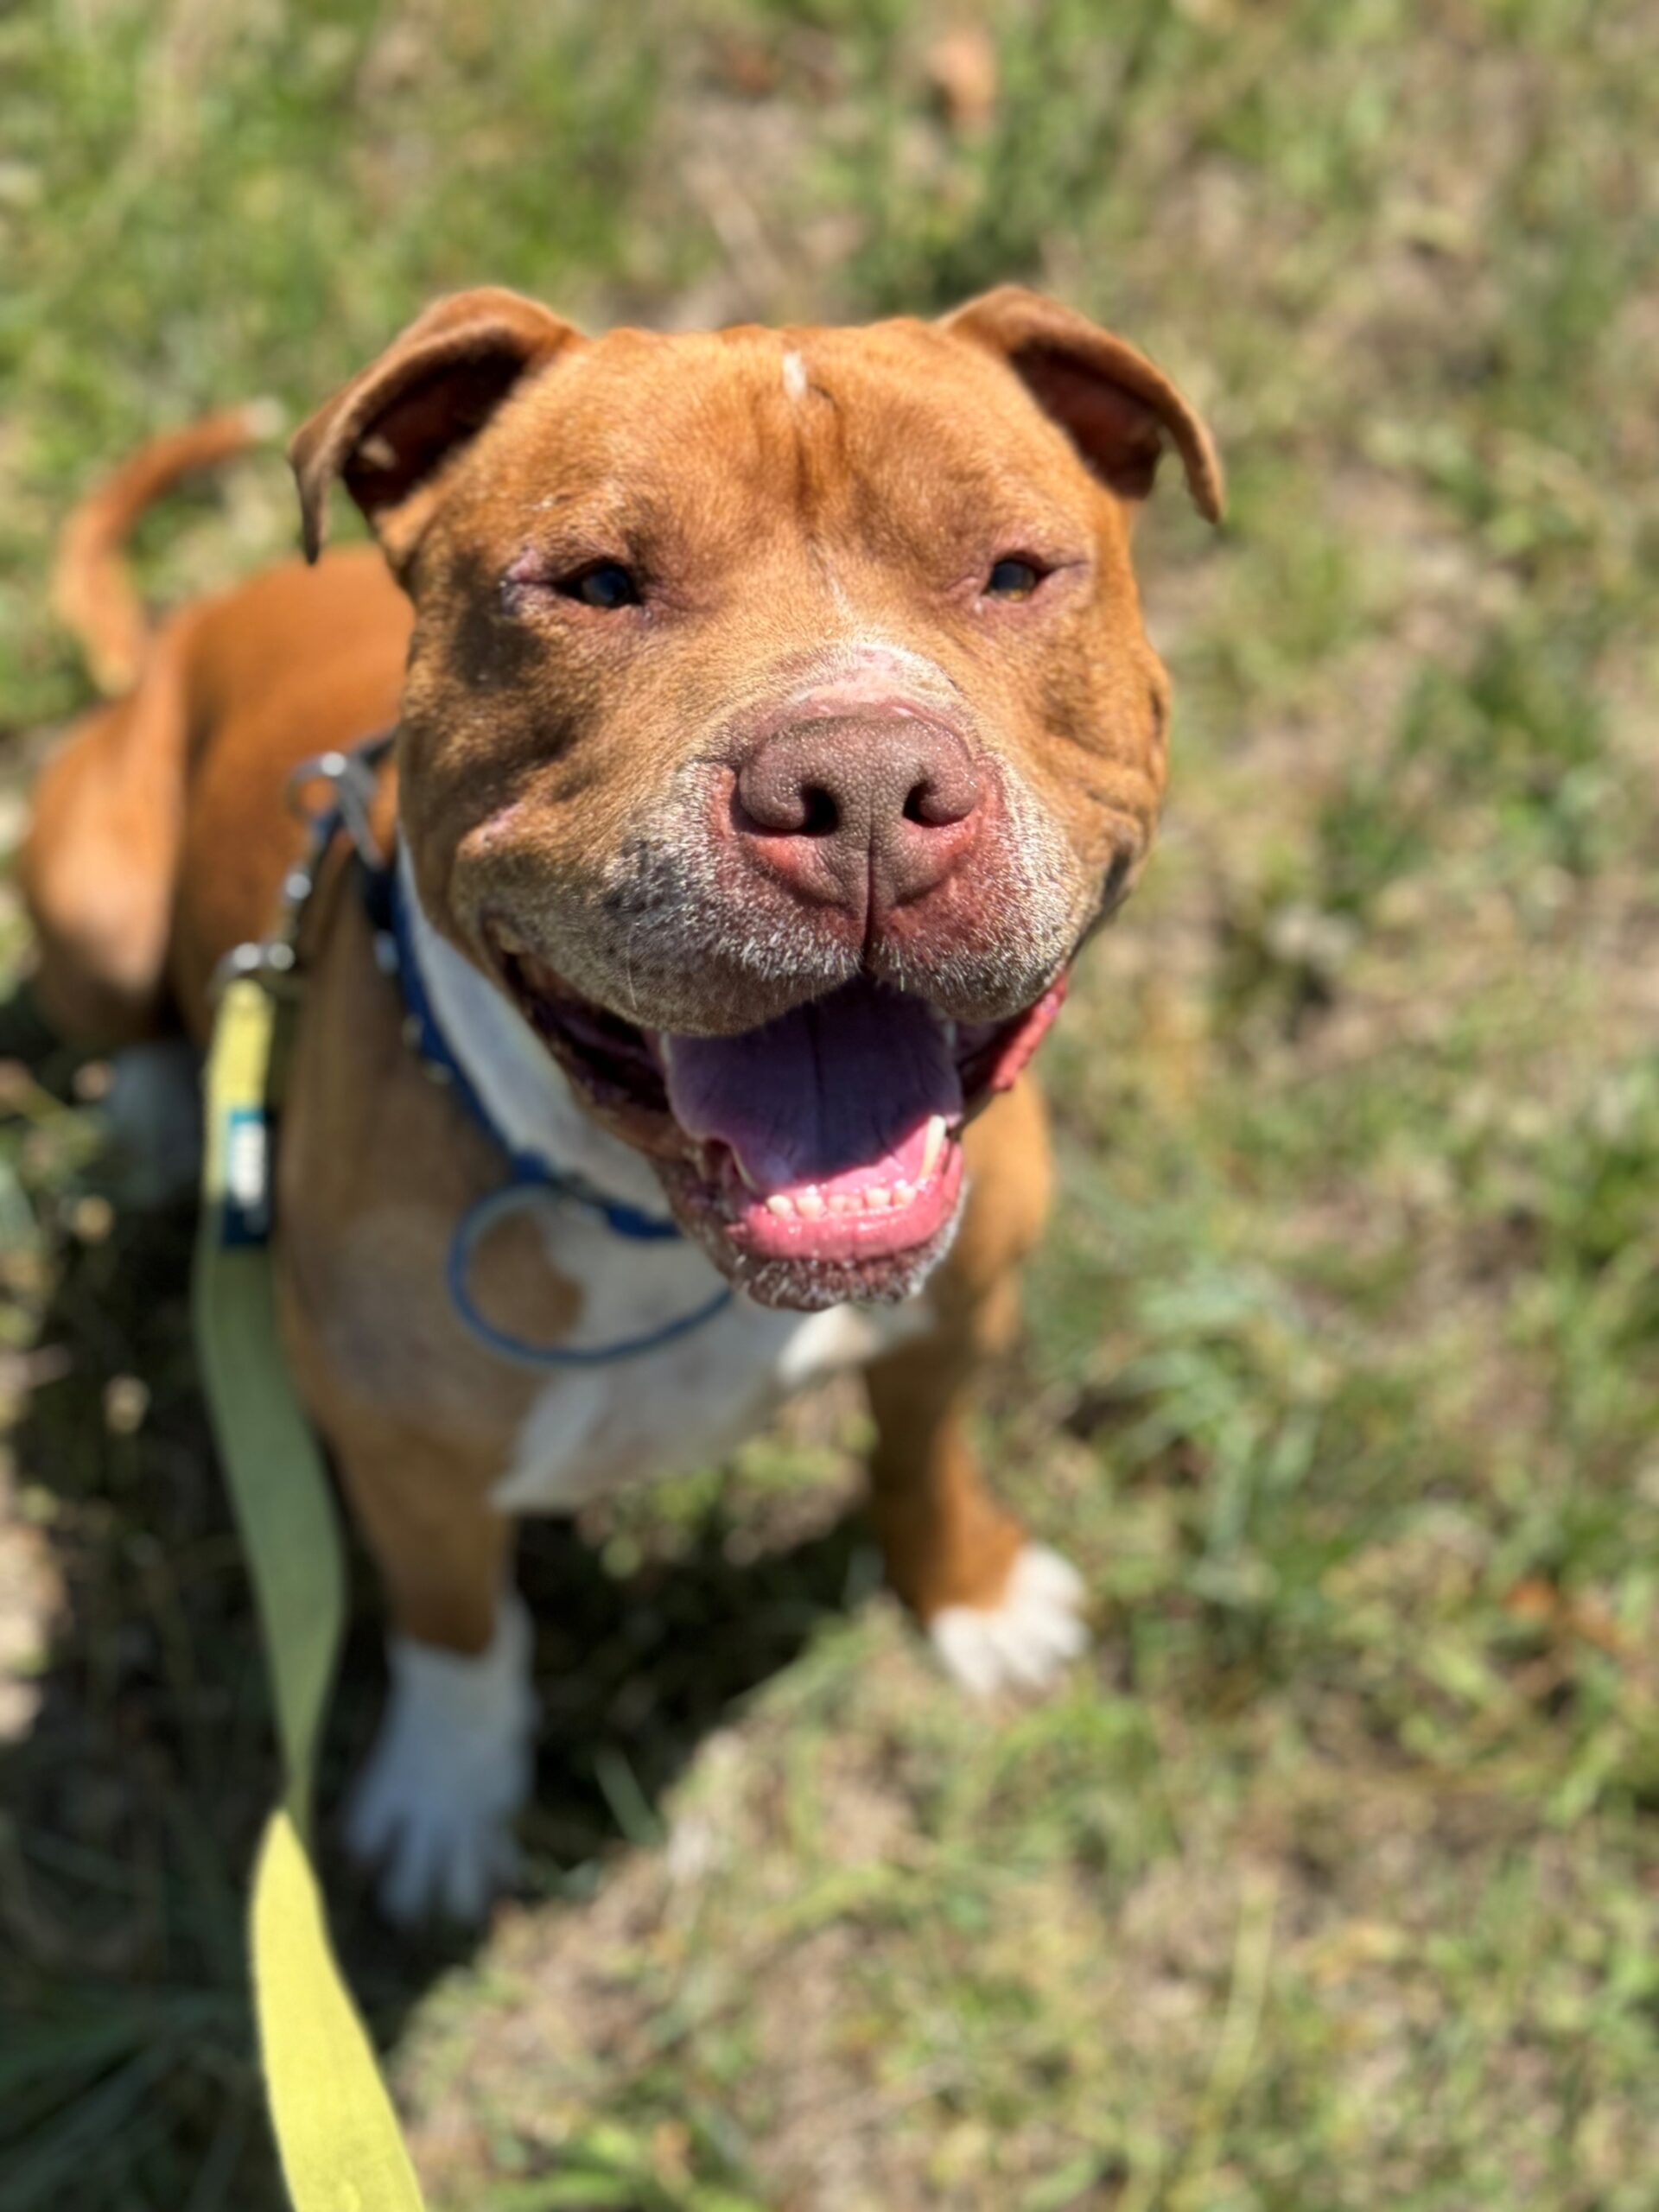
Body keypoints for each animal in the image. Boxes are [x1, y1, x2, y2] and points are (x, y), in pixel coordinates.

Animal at [23, 286, 1221, 1921]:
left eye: (1013, 573)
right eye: (598, 584)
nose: (859, 785)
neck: (645, 1219)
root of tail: (173, 637)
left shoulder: (959, 1312)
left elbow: (921, 1460)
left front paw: (969, 1595)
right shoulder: (399, 1454)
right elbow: (457, 1626)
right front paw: (446, 1798)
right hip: (84, 886)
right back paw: (161, 1111)